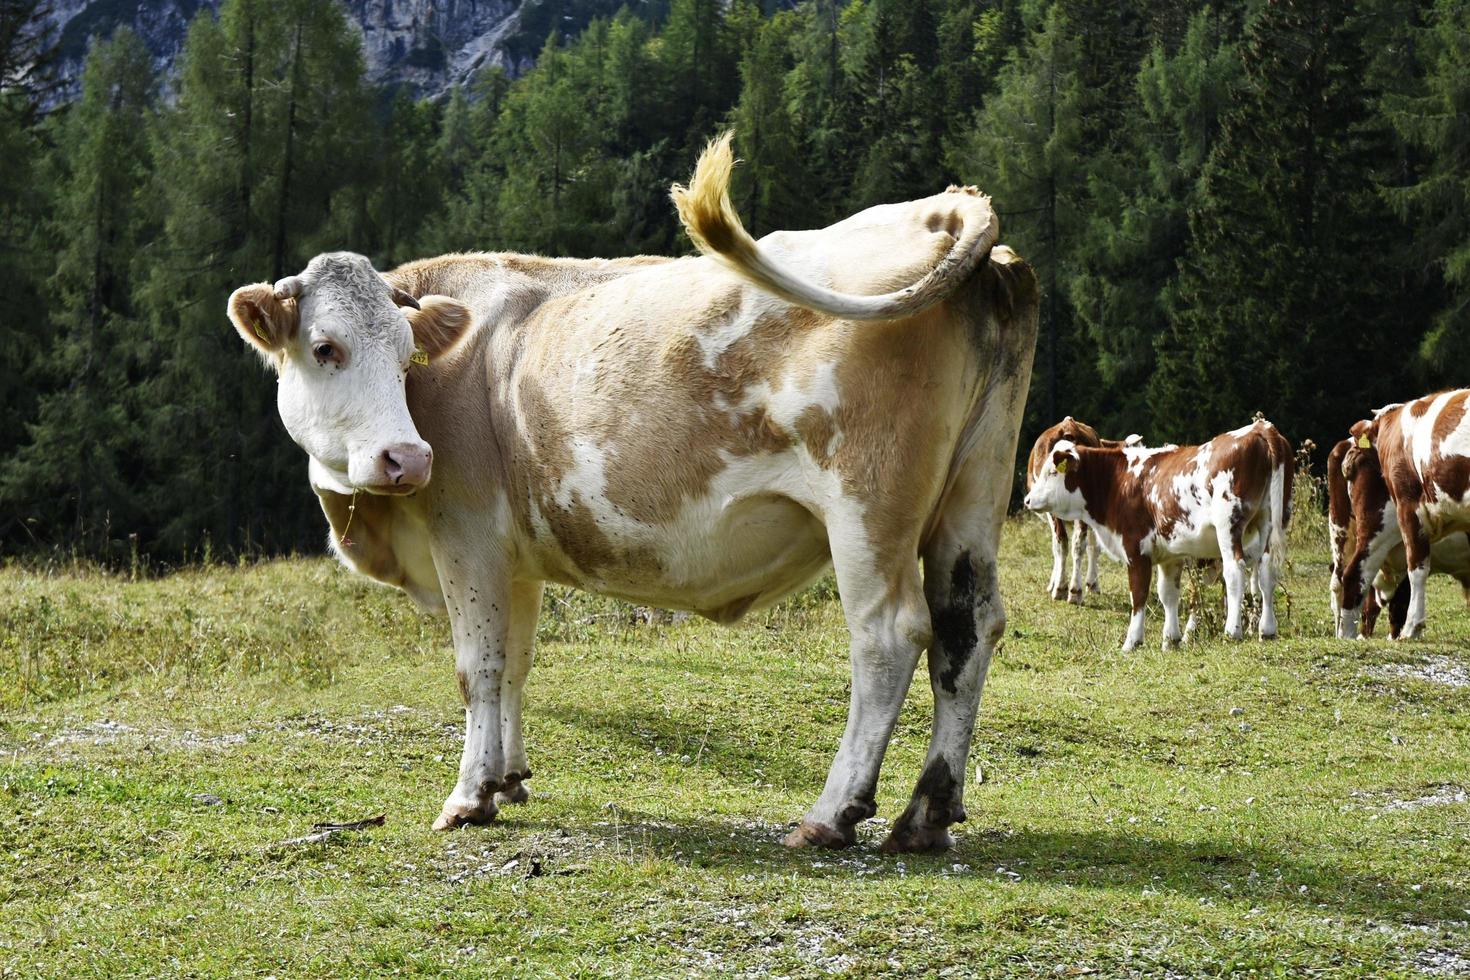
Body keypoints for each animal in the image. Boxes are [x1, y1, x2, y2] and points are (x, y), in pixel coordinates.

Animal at [223, 134, 1040, 852]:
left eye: (404, 355)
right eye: (326, 348)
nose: (406, 458)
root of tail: (944, 209)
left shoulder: (467, 537)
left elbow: (477, 667)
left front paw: (469, 796)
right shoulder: (516, 559)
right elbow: (517, 661)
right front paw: (510, 778)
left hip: (867, 509)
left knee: (889, 636)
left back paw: (831, 815)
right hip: (974, 491)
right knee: (967, 629)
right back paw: (926, 814)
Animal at [1340, 387, 1470, 640]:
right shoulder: (1410, 507)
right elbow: (1417, 567)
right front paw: (1413, 628)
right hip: (1380, 522)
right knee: (1357, 573)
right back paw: (1348, 634)